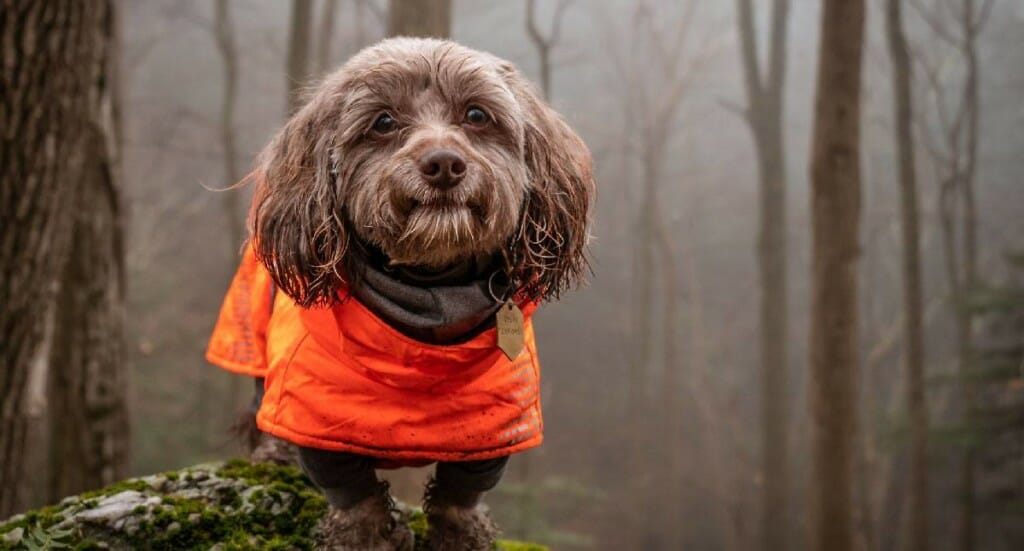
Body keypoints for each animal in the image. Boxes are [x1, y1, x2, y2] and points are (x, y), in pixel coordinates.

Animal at [204, 38, 598, 548]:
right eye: (384, 122)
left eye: (476, 115)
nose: (444, 163)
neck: (426, 296)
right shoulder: (321, 427)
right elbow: (358, 505)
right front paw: (364, 535)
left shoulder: (493, 432)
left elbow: (458, 500)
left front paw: (461, 536)